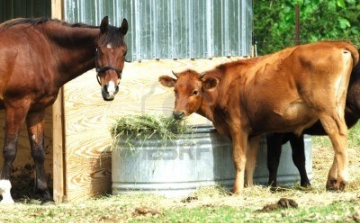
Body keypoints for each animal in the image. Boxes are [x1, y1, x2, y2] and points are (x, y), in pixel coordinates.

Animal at [0, 15, 129, 204]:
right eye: (99, 49)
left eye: (124, 52)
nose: (110, 90)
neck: (38, 51)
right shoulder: (17, 106)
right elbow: (10, 150)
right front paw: (6, 195)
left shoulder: (36, 109)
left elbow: (38, 151)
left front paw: (44, 194)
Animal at [161, 41, 360, 193]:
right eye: (175, 90)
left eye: (195, 91)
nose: (177, 113)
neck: (225, 86)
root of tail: (336, 43)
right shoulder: (254, 132)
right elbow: (251, 160)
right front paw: (249, 187)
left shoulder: (238, 127)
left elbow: (239, 158)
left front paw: (237, 190)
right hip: (336, 105)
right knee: (341, 135)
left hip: (325, 108)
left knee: (337, 135)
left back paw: (341, 179)